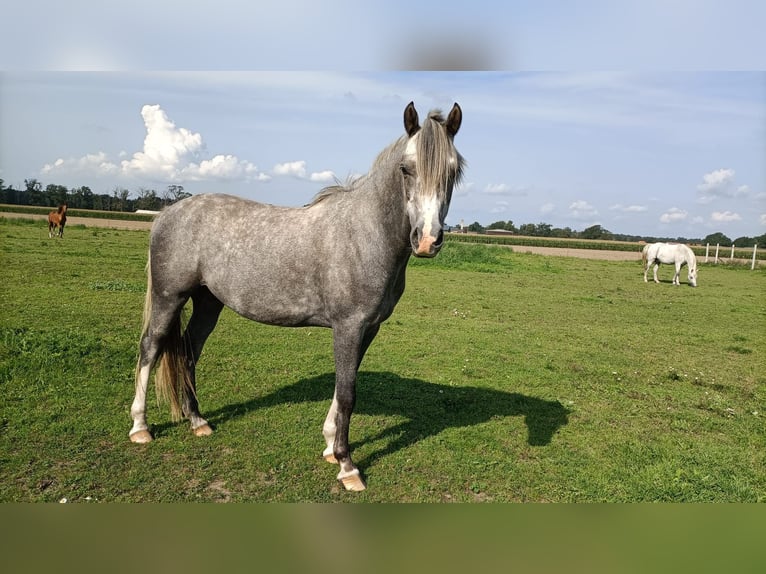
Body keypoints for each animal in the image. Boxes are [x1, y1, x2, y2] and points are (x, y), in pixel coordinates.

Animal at [130, 101, 464, 492]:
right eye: (406, 169)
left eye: (453, 171)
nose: (426, 240)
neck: (364, 234)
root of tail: (168, 212)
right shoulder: (348, 327)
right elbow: (348, 392)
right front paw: (347, 466)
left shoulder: (368, 328)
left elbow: (345, 384)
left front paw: (330, 446)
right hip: (169, 297)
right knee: (151, 347)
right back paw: (140, 428)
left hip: (209, 303)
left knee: (189, 350)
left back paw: (198, 421)